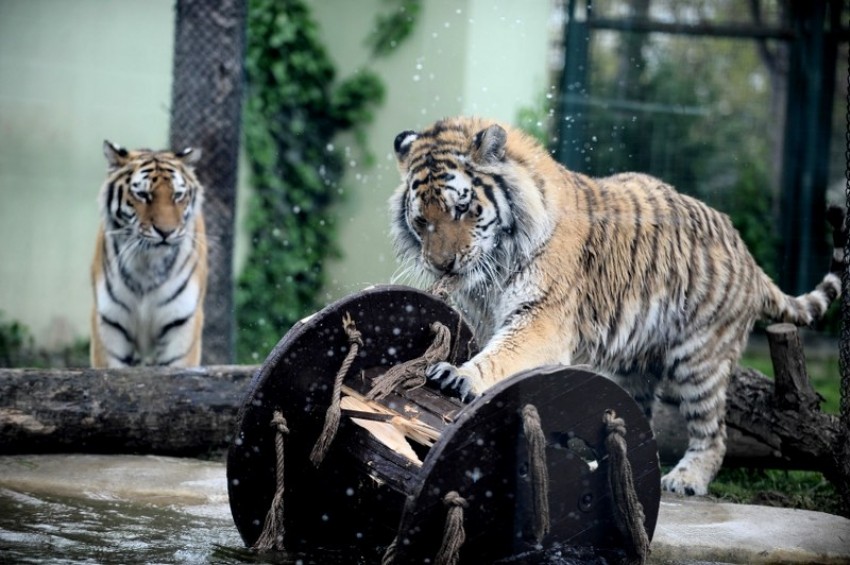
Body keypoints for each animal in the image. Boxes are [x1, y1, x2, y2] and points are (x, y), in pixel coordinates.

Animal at [90, 141, 208, 368]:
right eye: (143, 195)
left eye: (177, 195)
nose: (166, 232)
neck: (146, 265)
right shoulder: (109, 321)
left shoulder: (182, 322)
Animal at [390, 115, 840, 494]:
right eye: (422, 220)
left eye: (462, 208)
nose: (441, 264)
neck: (494, 267)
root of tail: (750, 259)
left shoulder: (542, 318)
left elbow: (504, 353)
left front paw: (460, 376)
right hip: (632, 367)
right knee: (637, 424)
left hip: (700, 360)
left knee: (714, 433)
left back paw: (685, 480)